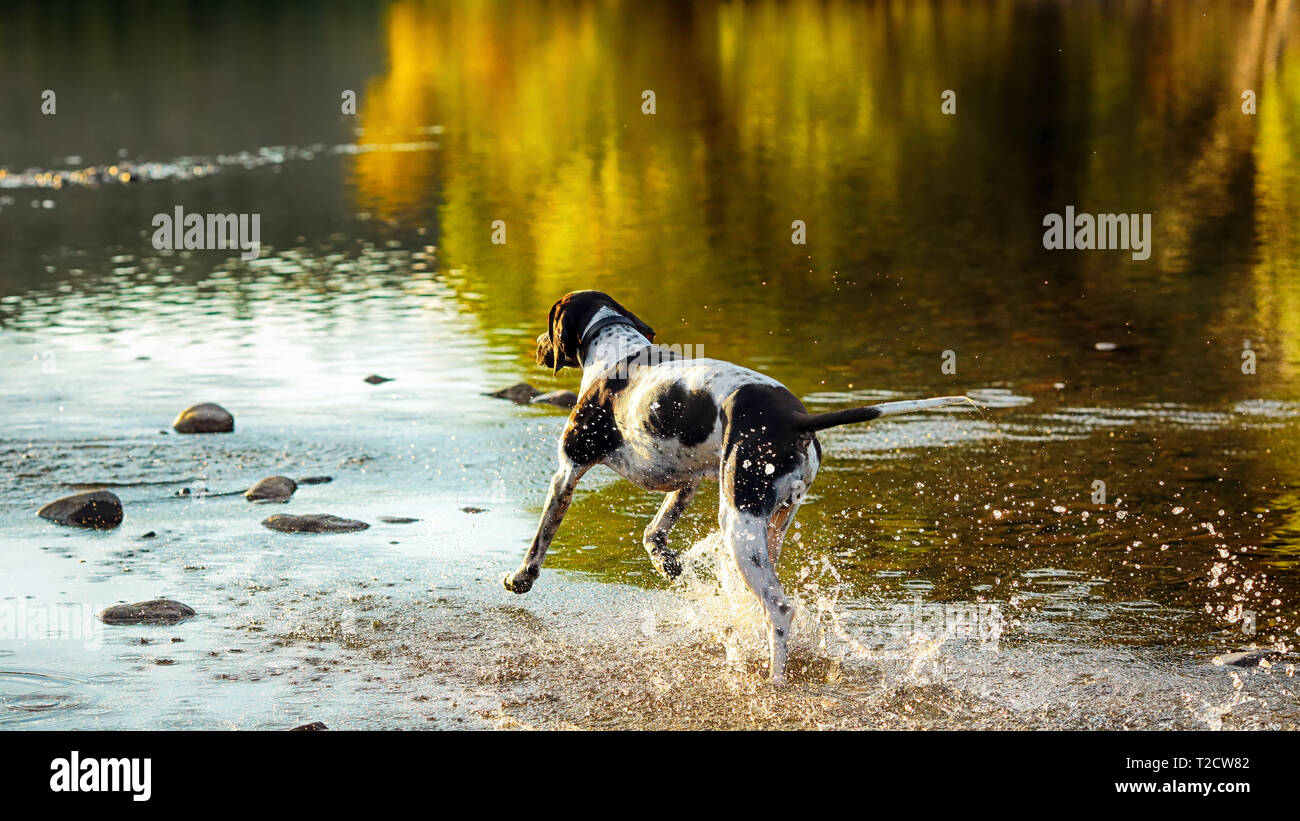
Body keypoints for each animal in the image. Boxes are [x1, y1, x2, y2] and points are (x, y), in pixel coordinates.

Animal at [501, 292, 972, 680]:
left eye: (548, 324)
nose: (537, 346)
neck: (616, 345)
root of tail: (795, 419)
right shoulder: (687, 480)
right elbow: (654, 532)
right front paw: (667, 563)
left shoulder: (568, 470)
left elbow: (541, 539)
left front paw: (521, 577)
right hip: (769, 528)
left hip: (738, 526)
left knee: (780, 609)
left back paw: (775, 678)